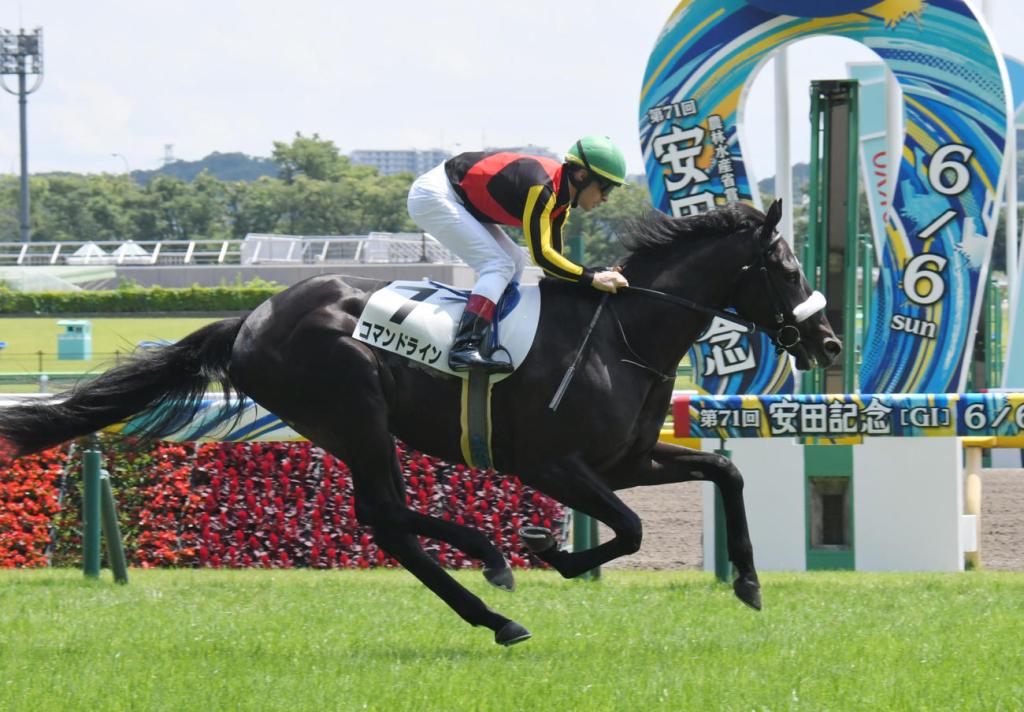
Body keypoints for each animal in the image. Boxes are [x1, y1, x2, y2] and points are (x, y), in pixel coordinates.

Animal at [0, 199, 840, 646]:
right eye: (786, 267)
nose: (828, 341)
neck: (622, 334)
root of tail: (251, 317)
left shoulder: (625, 461)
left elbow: (723, 470)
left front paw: (750, 583)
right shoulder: (553, 464)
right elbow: (629, 531)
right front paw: (548, 548)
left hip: (347, 426)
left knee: (389, 522)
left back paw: (494, 605)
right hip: (355, 411)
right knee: (384, 515)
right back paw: (493, 570)